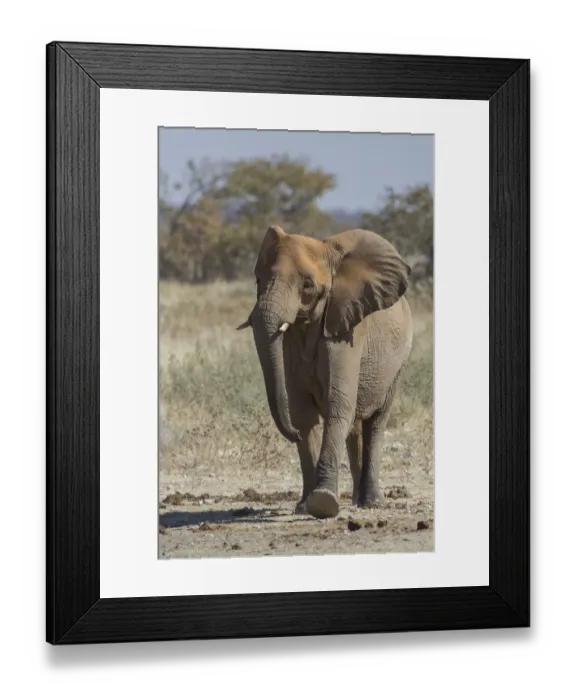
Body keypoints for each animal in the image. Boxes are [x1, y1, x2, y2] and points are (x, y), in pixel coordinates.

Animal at [236, 225, 413, 519]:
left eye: (307, 285)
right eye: (258, 279)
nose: (291, 435)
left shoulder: (346, 331)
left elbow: (337, 405)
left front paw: (323, 503)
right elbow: (303, 414)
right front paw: (303, 507)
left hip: (399, 362)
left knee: (376, 422)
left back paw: (372, 502)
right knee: (355, 426)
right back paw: (357, 500)